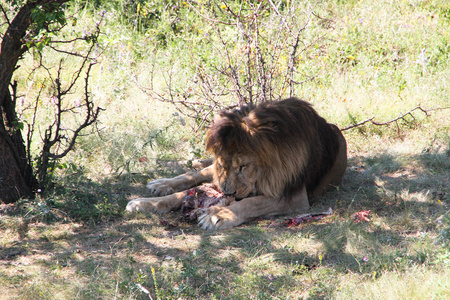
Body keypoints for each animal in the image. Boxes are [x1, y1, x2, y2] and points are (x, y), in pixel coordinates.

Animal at [126, 98, 348, 230]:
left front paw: (218, 215)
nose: (227, 193)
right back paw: (162, 184)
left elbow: (252, 203)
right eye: (223, 165)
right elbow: (184, 193)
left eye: (243, 167)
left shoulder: (294, 195)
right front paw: (145, 203)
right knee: (198, 173)